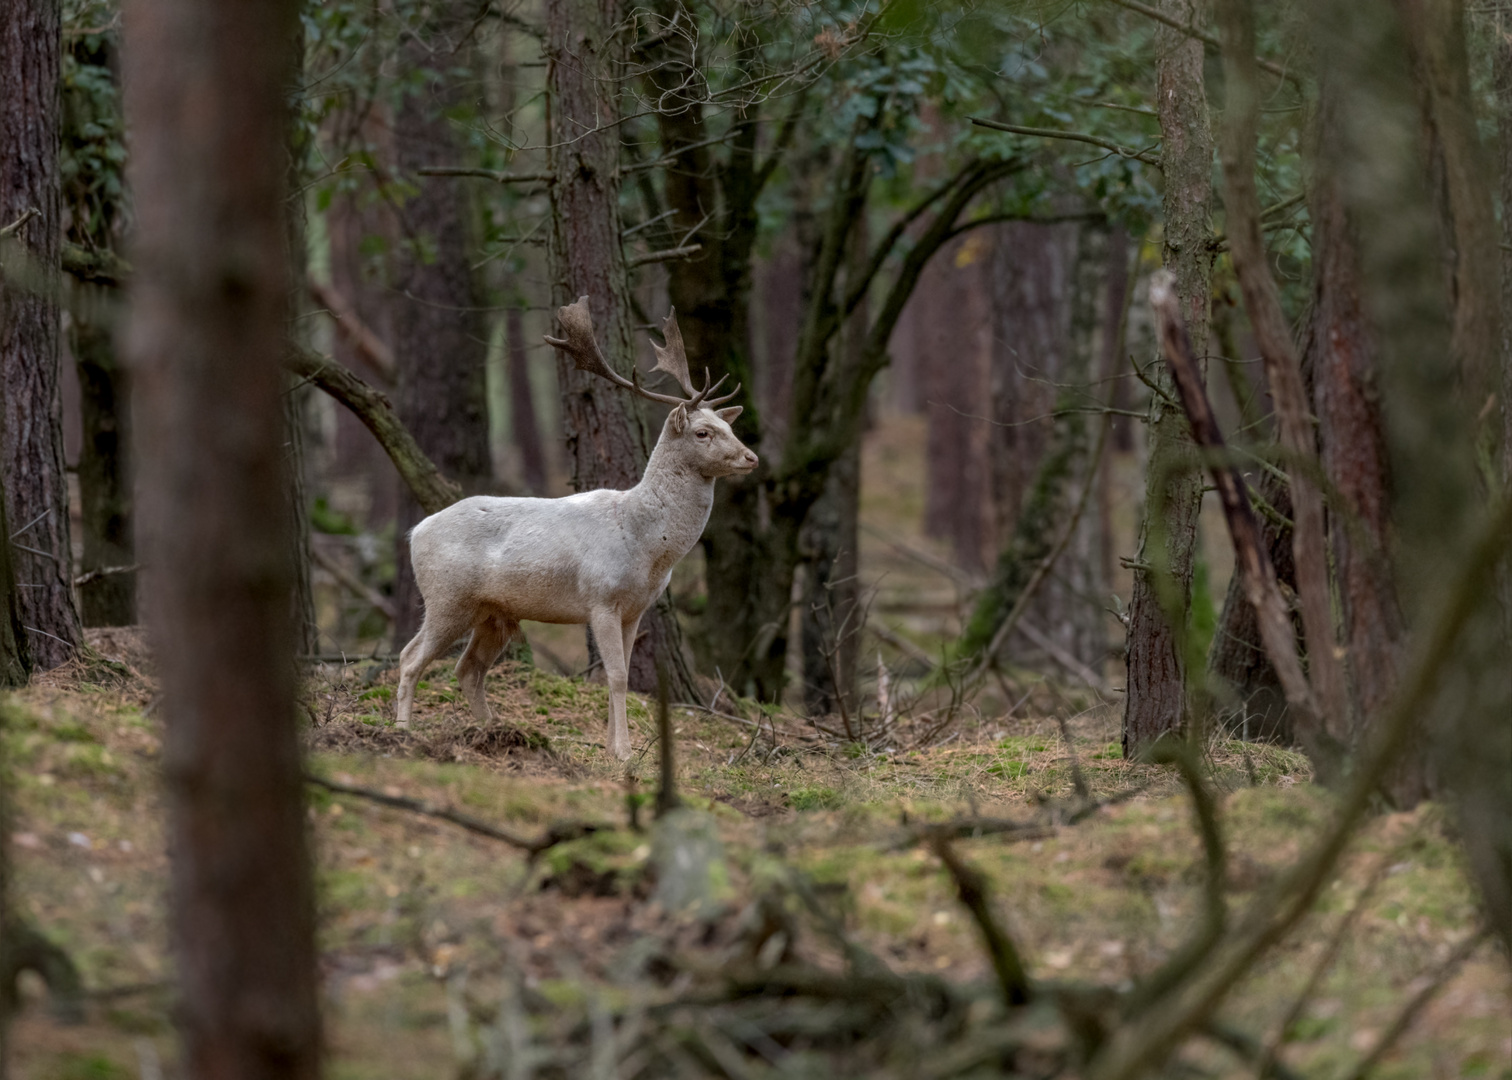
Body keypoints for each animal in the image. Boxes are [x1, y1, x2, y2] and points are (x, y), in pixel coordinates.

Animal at [393, 294, 756, 756]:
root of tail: (416, 531)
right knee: (410, 657)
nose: (751, 457)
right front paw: (624, 752)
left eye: (730, 425)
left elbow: (622, 676)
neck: (648, 546)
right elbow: (616, 677)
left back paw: (493, 731)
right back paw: (403, 730)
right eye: (703, 432)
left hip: (493, 612)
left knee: (467, 668)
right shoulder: (601, 598)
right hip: (446, 596)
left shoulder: (635, 609)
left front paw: (613, 747)